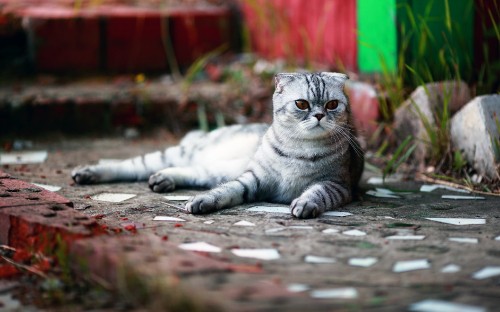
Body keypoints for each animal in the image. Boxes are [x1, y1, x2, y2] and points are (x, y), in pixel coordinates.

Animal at [72, 72, 364, 219]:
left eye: (332, 105)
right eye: (302, 104)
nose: (319, 115)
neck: (299, 148)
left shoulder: (337, 185)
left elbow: (316, 193)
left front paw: (304, 204)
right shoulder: (254, 178)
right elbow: (226, 191)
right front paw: (202, 201)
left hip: (212, 169)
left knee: (190, 171)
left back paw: (163, 180)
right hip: (180, 154)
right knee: (130, 165)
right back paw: (88, 172)